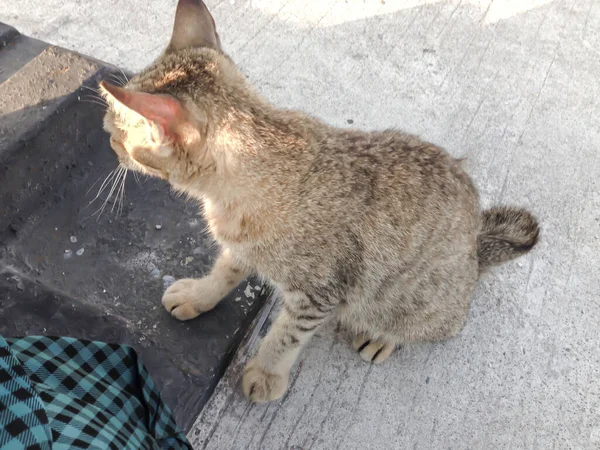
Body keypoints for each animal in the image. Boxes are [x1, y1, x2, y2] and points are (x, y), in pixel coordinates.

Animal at [98, 0, 540, 402]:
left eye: (117, 131)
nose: (105, 135)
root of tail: (475, 252)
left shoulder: (319, 292)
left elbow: (286, 336)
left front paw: (266, 373)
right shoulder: (243, 246)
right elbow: (225, 270)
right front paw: (199, 296)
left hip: (417, 303)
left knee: (438, 324)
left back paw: (384, 337)